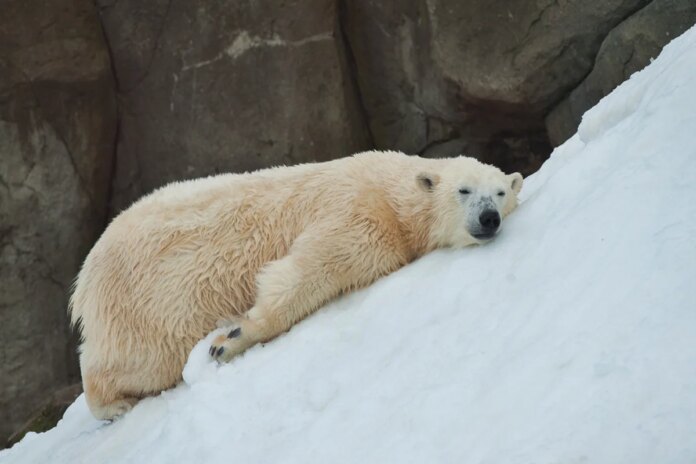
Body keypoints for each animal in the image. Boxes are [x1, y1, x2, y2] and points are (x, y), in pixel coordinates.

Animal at [70, 150, 523, 420]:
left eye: (501, 192)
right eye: (464, 190)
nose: (488, 218)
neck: (391, 189)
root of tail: (85, 277)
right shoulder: (358, 211)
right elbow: (310, 267)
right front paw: (232, 339)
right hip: (154, 303)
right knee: (139, 359)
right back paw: (114, 403)